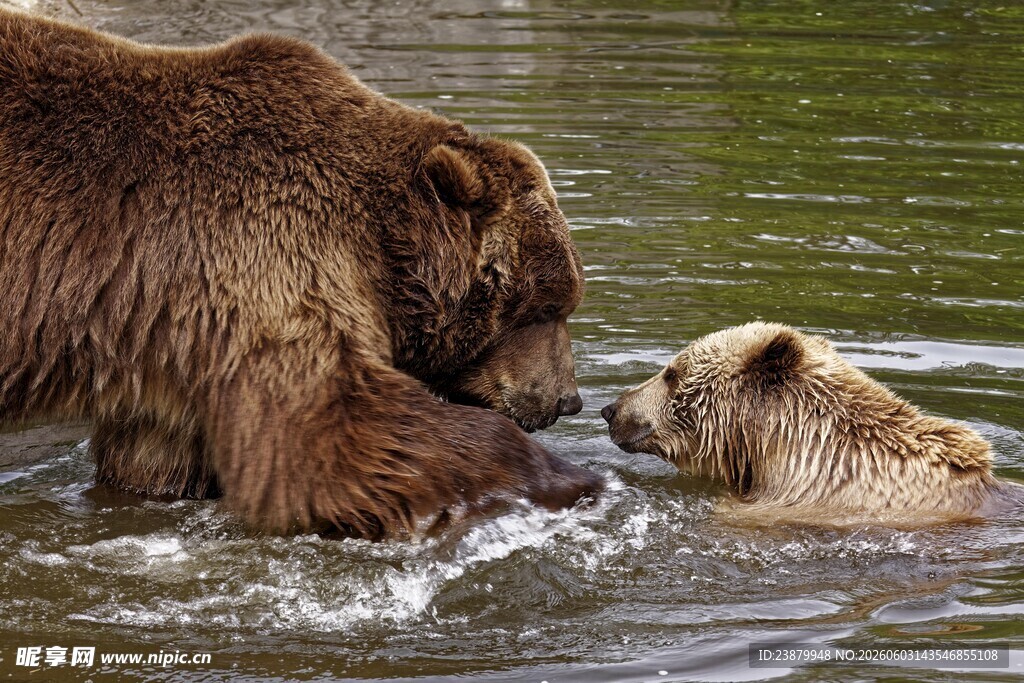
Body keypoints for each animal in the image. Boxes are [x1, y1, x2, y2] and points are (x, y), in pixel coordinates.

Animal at [0, 7, 602, 539]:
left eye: (562, 302)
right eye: (545, 308)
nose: (567, 401)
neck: (381, 251)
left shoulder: (170, 339)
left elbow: (153, 461)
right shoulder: (268, 250)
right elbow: (331, 433)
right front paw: (567, 478)